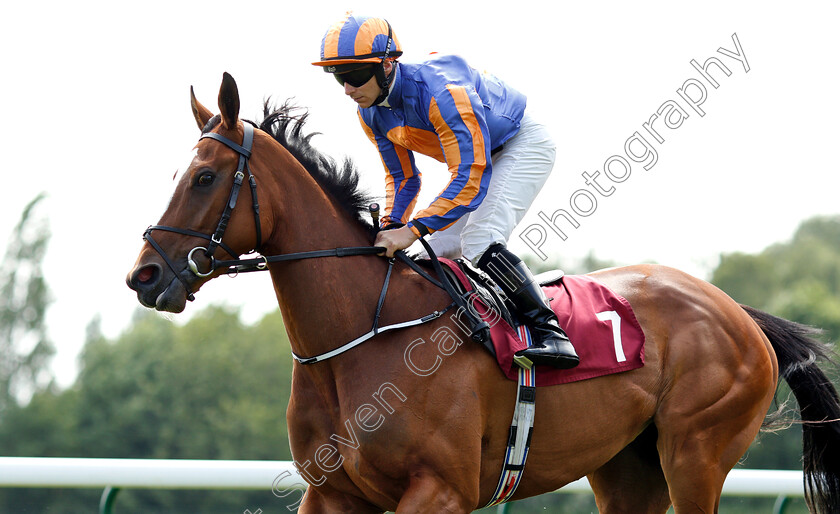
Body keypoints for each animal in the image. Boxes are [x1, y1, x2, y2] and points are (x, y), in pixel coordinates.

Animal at [126, 73, 840, 512]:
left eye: (205, 177)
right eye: (178, 172)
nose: (145, 276)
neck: (358, 339)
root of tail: (737, 312)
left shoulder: (440, 489)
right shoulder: (331, 493)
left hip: (695, 454)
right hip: (628, 469)